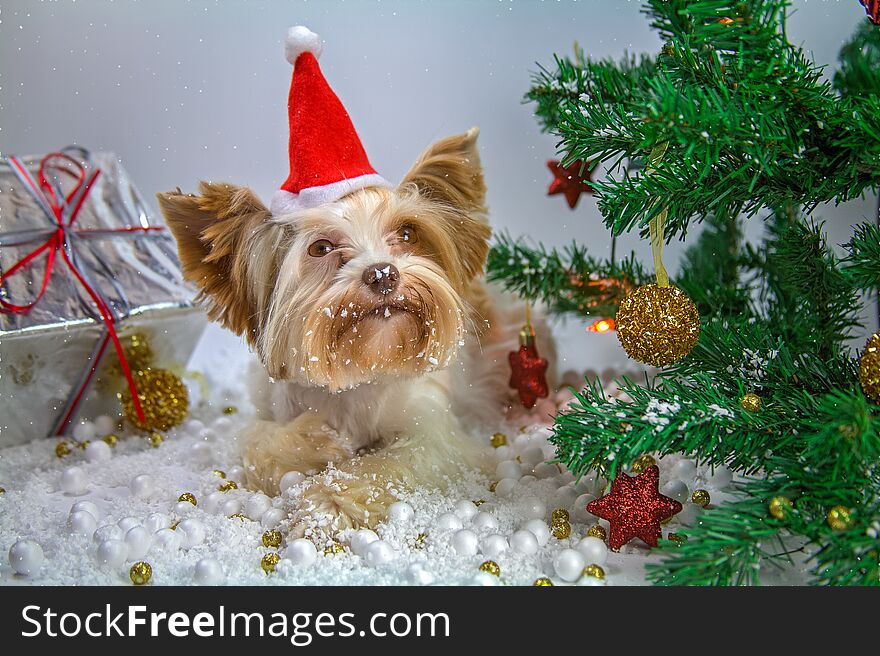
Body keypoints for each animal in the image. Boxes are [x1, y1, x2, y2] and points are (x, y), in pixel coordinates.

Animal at [155, 26, 548, 540]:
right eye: (321, 248)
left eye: (407, 234)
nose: (383, 272)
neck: (358, 372)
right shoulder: (267, 406)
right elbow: (252, 440)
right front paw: (314, 441)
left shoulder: (435, 435)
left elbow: (392, 463)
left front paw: (325, 503)